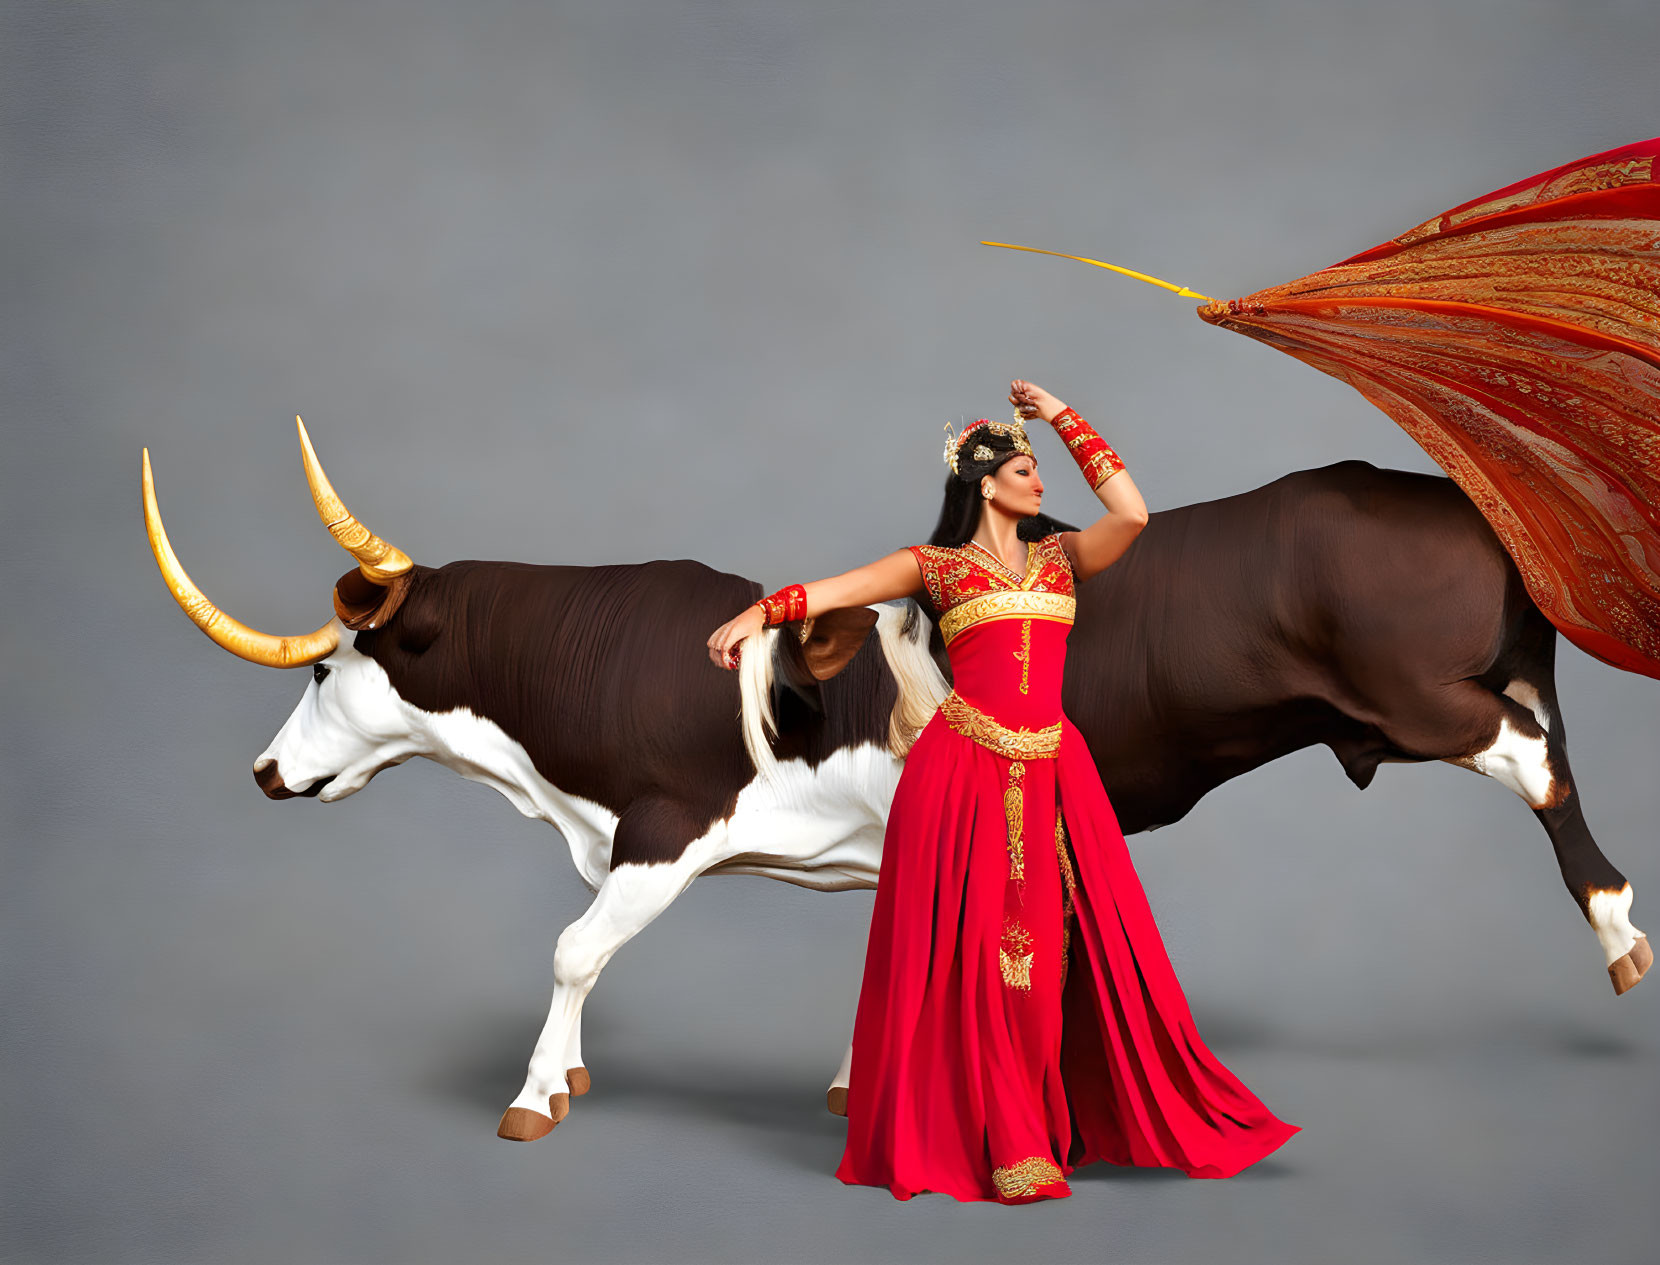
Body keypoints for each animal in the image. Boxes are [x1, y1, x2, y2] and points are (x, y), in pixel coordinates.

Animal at [139, 418, 1646, 1135]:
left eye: (325, 669)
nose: (263, 770)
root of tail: (1452, 491)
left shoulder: (661, 829)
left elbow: (572, 947)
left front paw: (535, 1092)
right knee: (1552, 744)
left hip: (1421, 698)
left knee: (1538, 765)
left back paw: (1621, 931)